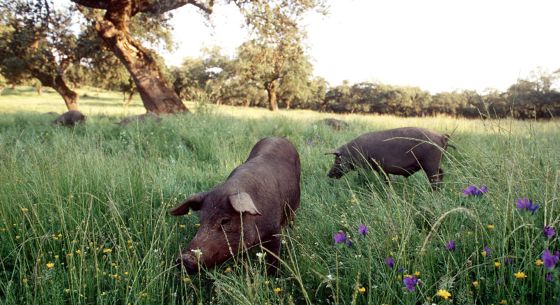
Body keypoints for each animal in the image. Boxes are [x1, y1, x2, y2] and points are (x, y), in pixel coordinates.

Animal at [171, 137, 302, 272]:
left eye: (225, 221)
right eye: (201, 220)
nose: (183, 259)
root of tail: (277, 137)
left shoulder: (274, 230)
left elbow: (274, 257)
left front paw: (273, 273)